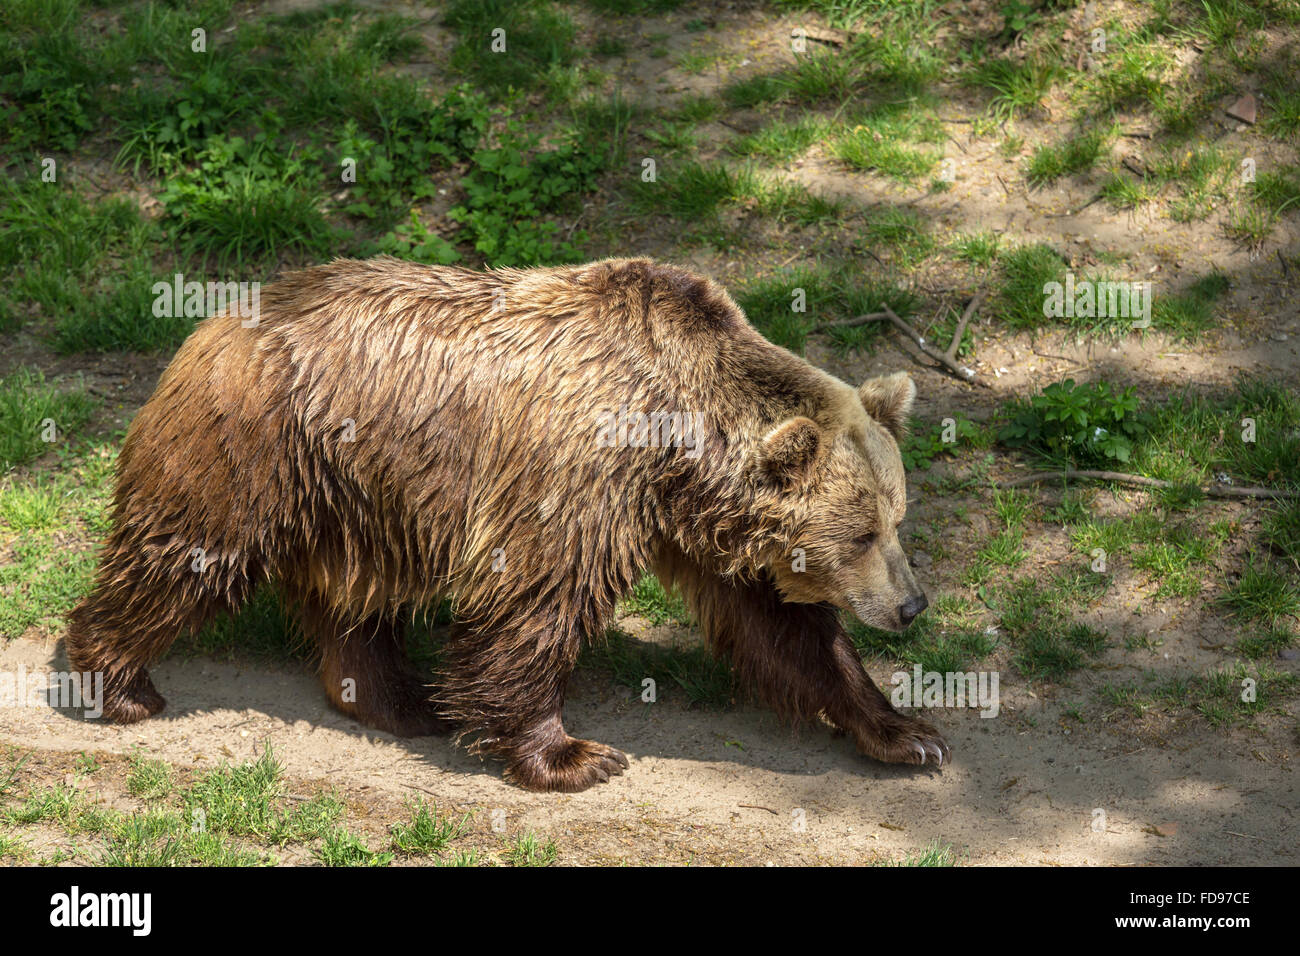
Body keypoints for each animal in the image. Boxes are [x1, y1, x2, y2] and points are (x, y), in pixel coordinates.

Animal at [68, 256, 946, 790]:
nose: (910, 605)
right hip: (253, 447)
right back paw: (118, 681)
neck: (676, 442)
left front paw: (907, 734)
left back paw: (395, 699)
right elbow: (537, 603)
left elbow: (784, 630)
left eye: (896, 518)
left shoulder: (691, 519)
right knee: (189, 553)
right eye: (862, 532)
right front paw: (571, 755)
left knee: (356, 595)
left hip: (359, 489)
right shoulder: (579, 474)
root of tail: (214, 318)